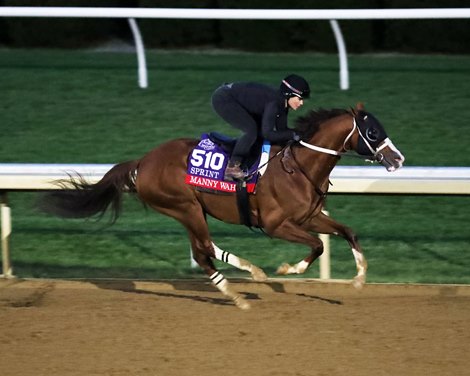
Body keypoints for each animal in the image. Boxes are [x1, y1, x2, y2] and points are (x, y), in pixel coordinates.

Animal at [40, 104, 404, 310]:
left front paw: (358, 278)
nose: (398, 159)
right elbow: (317, 246)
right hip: (183, 205)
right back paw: (241, 287)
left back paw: (245, 278)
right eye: (373, 131)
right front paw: (288, 269)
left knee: (204, 250)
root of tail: (143, 162)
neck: (299, 166)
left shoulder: (311, 216)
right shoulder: (276, 224)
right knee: (203, 249)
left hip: (190, 210)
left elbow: (348, 233)